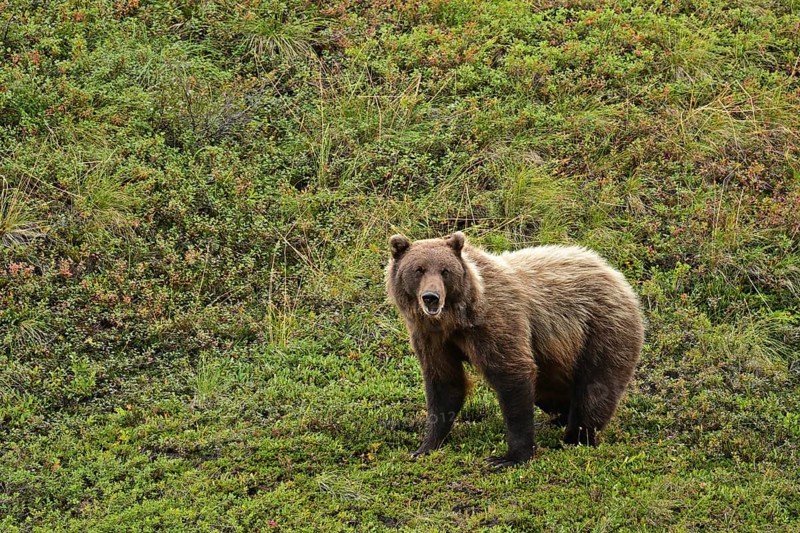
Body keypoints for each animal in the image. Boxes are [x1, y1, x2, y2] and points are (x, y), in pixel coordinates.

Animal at [385, 232, 644, 468]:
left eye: (444, 271)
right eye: (418, 269)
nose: (431, 297)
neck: (455, 320)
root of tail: (615, 273)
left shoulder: (494, 322)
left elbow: (511, 374)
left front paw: (510, 456)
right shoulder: (431, 337)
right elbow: (444, 383)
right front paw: (426, 446)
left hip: (601, 329)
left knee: (595, 388)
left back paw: (576, 437)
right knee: (549, 391)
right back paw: (557, 419)